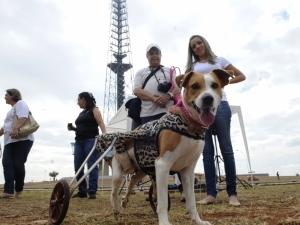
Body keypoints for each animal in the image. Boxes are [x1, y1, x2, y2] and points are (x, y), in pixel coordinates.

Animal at [100, 69, 232, 225]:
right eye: (194, 86)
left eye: (215, 85)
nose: (208, 98)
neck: (188, 124)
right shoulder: (162, 165)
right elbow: (162, 202)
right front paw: (164, 222)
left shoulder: (187, 170)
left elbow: (191, 202)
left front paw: (198, 221)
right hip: (118, 172)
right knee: (114, 191)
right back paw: (115, 209)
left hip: (144, 168)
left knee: (133, 178)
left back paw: (125, 200)